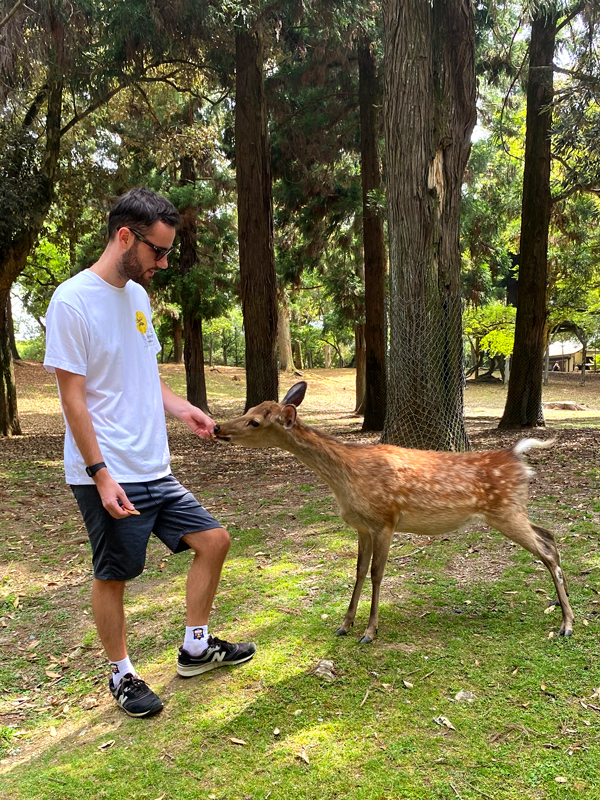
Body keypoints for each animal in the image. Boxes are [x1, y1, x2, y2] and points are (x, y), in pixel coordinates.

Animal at [213, 382, 574, 644]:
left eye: (255, 421)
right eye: (249, 409)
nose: (217, 427)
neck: (347, 478)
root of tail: (519, 456)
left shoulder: (386, 519)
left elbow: (377, 573)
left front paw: (369, 632)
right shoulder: (361, 526)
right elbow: (358, 571)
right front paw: (345, 624)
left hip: (506, 510)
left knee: (546, 549)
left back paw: (567, 624)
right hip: (513, 510)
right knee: (550, 536)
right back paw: (561, 607)